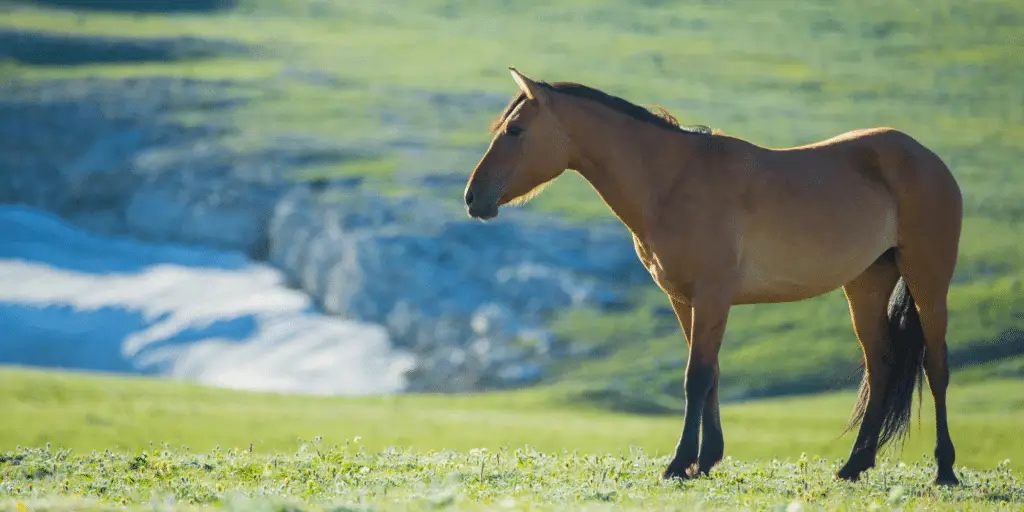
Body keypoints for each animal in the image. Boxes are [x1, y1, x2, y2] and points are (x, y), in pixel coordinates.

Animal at [460, 67, 962, 483]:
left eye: (516, 129)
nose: (472, 197)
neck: (672, 182)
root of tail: (930, 160)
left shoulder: (713, 297)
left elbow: (696, 377)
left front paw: (680, 462)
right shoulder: (685, 300)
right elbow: (711, 374)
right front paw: (706, 459)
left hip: (929, 281)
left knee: (935, 366)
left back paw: (945, 470)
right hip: (866, 284)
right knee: (881, 366)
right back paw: (855, 465)